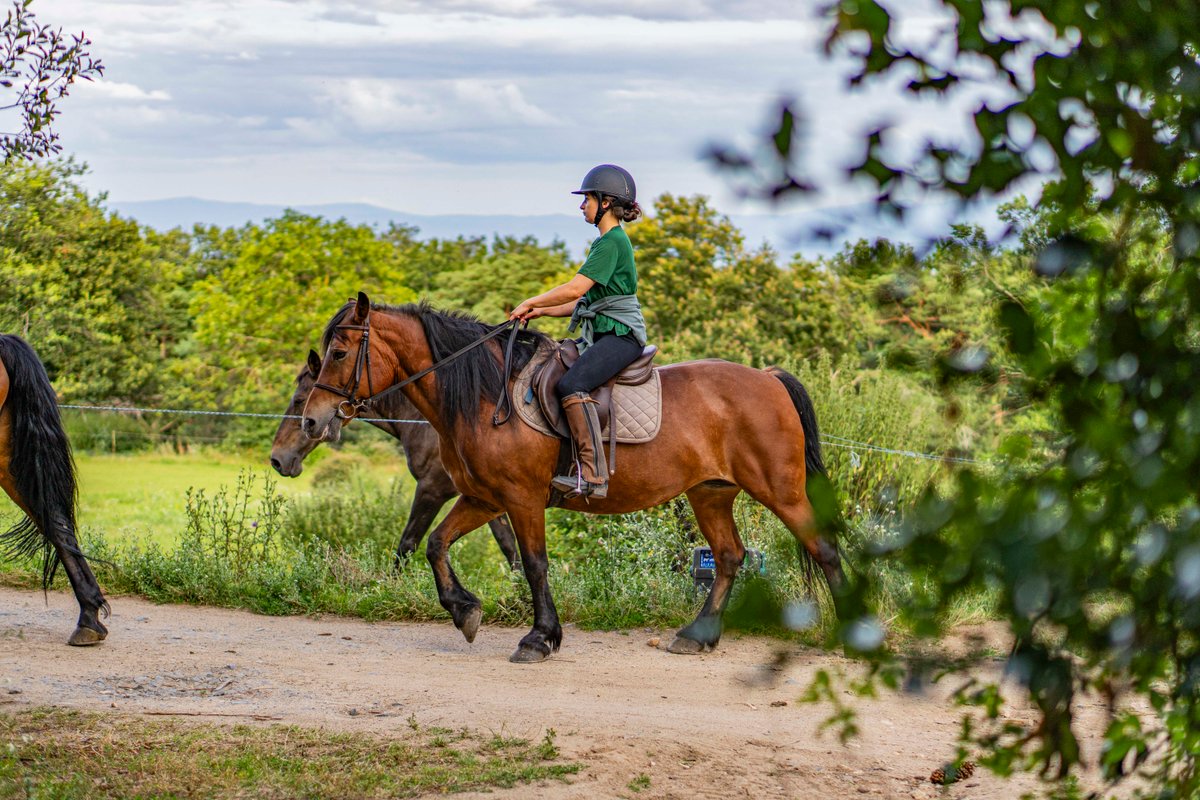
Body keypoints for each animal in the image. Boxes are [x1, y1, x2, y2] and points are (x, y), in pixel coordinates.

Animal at [270, 347, 518, 568]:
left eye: (299, 400)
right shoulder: (483, 496)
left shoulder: (432, 489)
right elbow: (509, 546)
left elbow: (406, 546)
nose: (277, 459)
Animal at [302, 293, 844, 662]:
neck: (484, 396)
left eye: (340, 353)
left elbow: (535, 564)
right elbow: (436, 544)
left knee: (823, 549)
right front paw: (465, 611)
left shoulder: (521, 499)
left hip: (780, 490)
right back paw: (697, 636)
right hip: (709, 493)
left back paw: (846, 634)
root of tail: (768, 378)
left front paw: (540, 638)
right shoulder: (483, 497)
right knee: (729, 556)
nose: (312, 420)